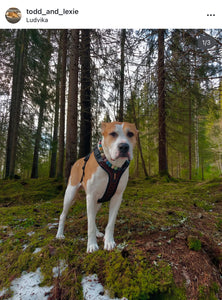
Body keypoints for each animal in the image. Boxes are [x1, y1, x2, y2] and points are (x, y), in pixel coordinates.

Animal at [56, 120, 137, 252]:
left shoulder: (117, 197)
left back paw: (98, 232)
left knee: (93, 217)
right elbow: (90, 226)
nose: (124, 146)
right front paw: (92, 245)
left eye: (130, 134)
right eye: (113, 134)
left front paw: (109, 241)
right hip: (70, 194)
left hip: (97, 202)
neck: (112, 166)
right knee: (63, 215)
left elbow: (110, 223)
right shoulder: (90, 196)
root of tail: (77, 161)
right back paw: (59, 234)